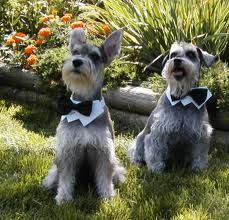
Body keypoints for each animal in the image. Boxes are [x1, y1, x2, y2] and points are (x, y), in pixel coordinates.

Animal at [42, 27, 125, 205]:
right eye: (75, 52)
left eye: (95, 56)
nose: (76, 62)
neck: (83, 106)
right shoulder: (66, 150)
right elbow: (65, 178)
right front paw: (63, 198)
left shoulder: (104, 151)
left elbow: (104, 176)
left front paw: (107, 196)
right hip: (54, 169)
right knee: (54, 177)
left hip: (117, 168)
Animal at [129, 40, 215, 172]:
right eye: (173, 54)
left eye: (191, 54)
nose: (177, 60)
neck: (183, 97)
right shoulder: (159, 130)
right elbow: (154, 150)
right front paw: (155, 169)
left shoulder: (201, 133)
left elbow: (200, 153)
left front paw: (198, 168)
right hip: (139, 140)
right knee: (136, 152)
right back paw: (137, 162)